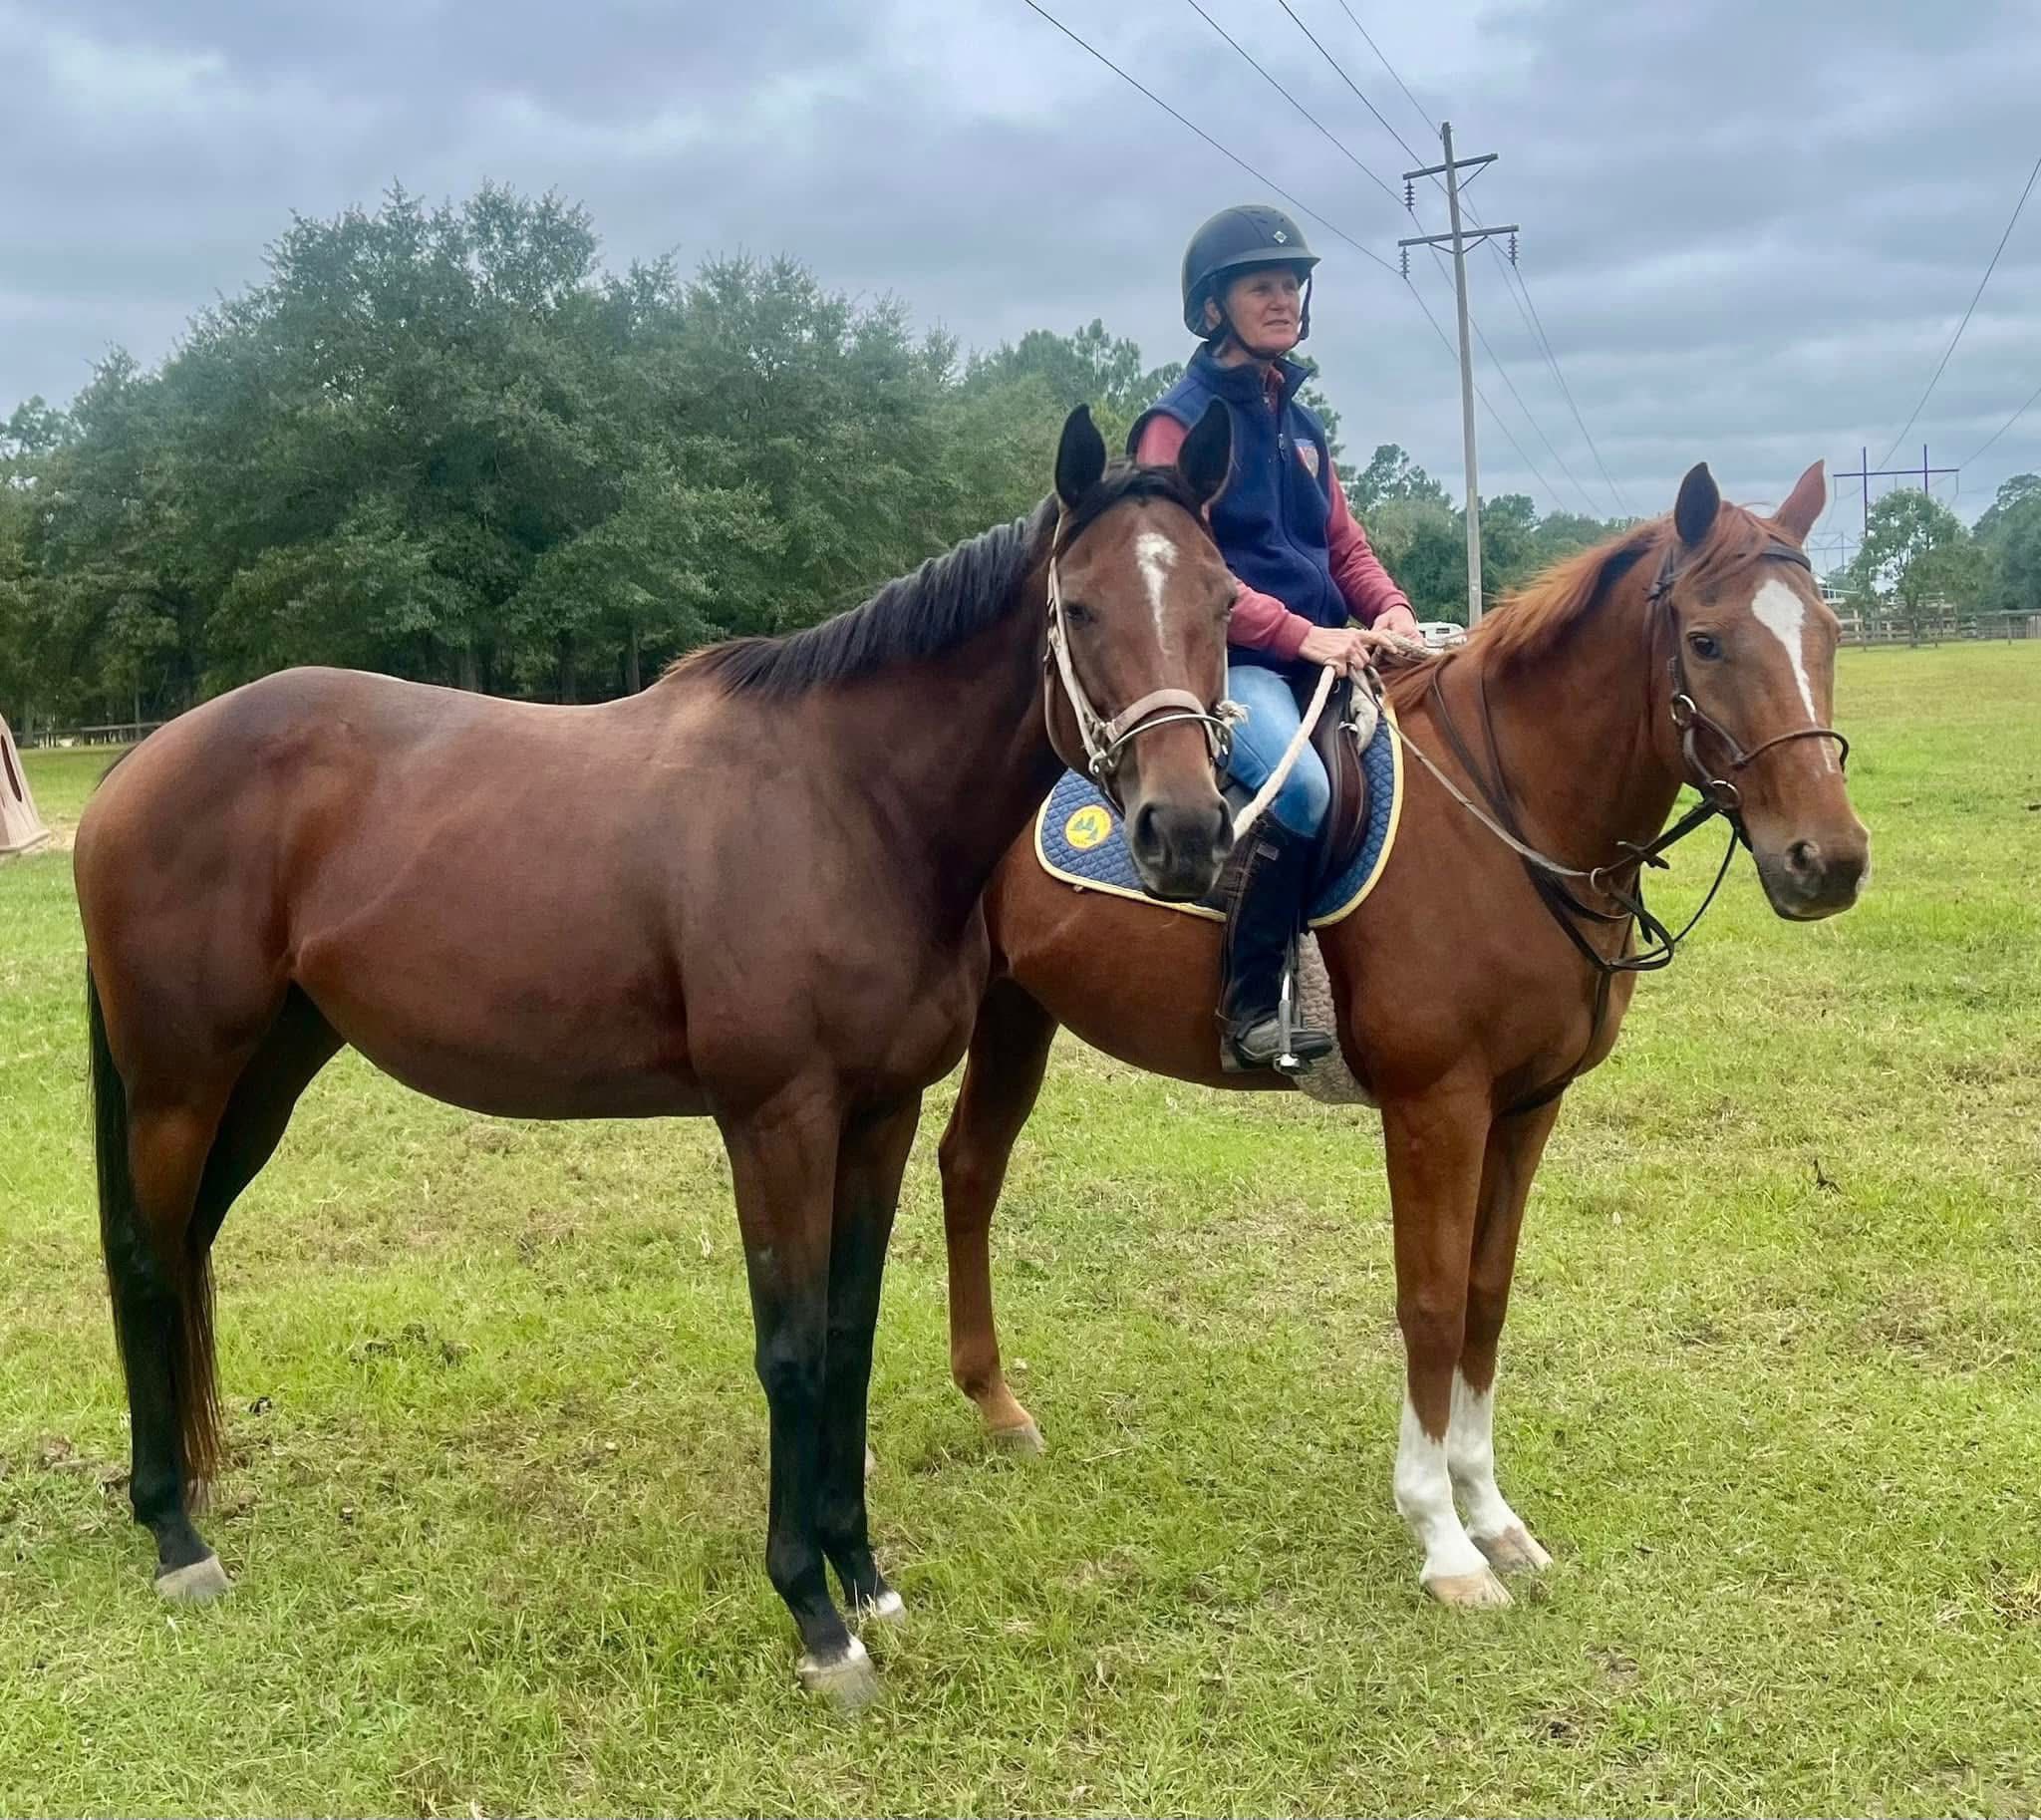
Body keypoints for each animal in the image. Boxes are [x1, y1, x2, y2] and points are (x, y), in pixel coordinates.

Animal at [74, 402, 1242, 1705]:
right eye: (1078, 606)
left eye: (1221, 600)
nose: (1183, 832)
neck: (847, 801)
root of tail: (139, 763)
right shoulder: (776, 1118)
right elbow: (791, 1349)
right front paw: (812, 1615)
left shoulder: (879, 1112)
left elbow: (849, 1333)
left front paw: (862, 1574)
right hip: (180, 1083)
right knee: (143, 1257)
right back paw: (175, 1531)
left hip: (264, 1073)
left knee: (182, 1248)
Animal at [934, 458, 1870, 1608]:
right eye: (1704, 641)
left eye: (1827, 630)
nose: (1827, 859)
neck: (1502, 818)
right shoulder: (1437, 1106)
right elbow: (1427, 1301)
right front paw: (1441, 1537)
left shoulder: (1527, 1106)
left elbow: (1484, 1295)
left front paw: (1492, 1513)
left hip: (1020, 1012)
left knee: (970, 1168)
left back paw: (994, 1401)